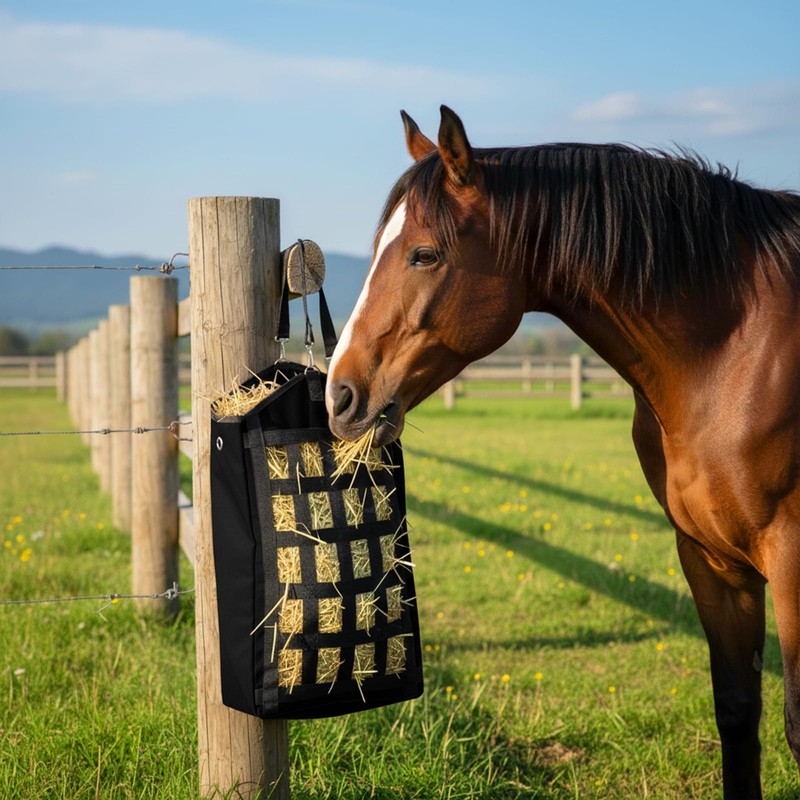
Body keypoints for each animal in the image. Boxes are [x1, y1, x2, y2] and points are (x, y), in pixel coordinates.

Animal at [324, 105, 800, 798]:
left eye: (424, 253)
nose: (338, 396)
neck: (734, 353)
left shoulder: (790, 560)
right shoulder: (711, 559)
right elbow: (738, 712)